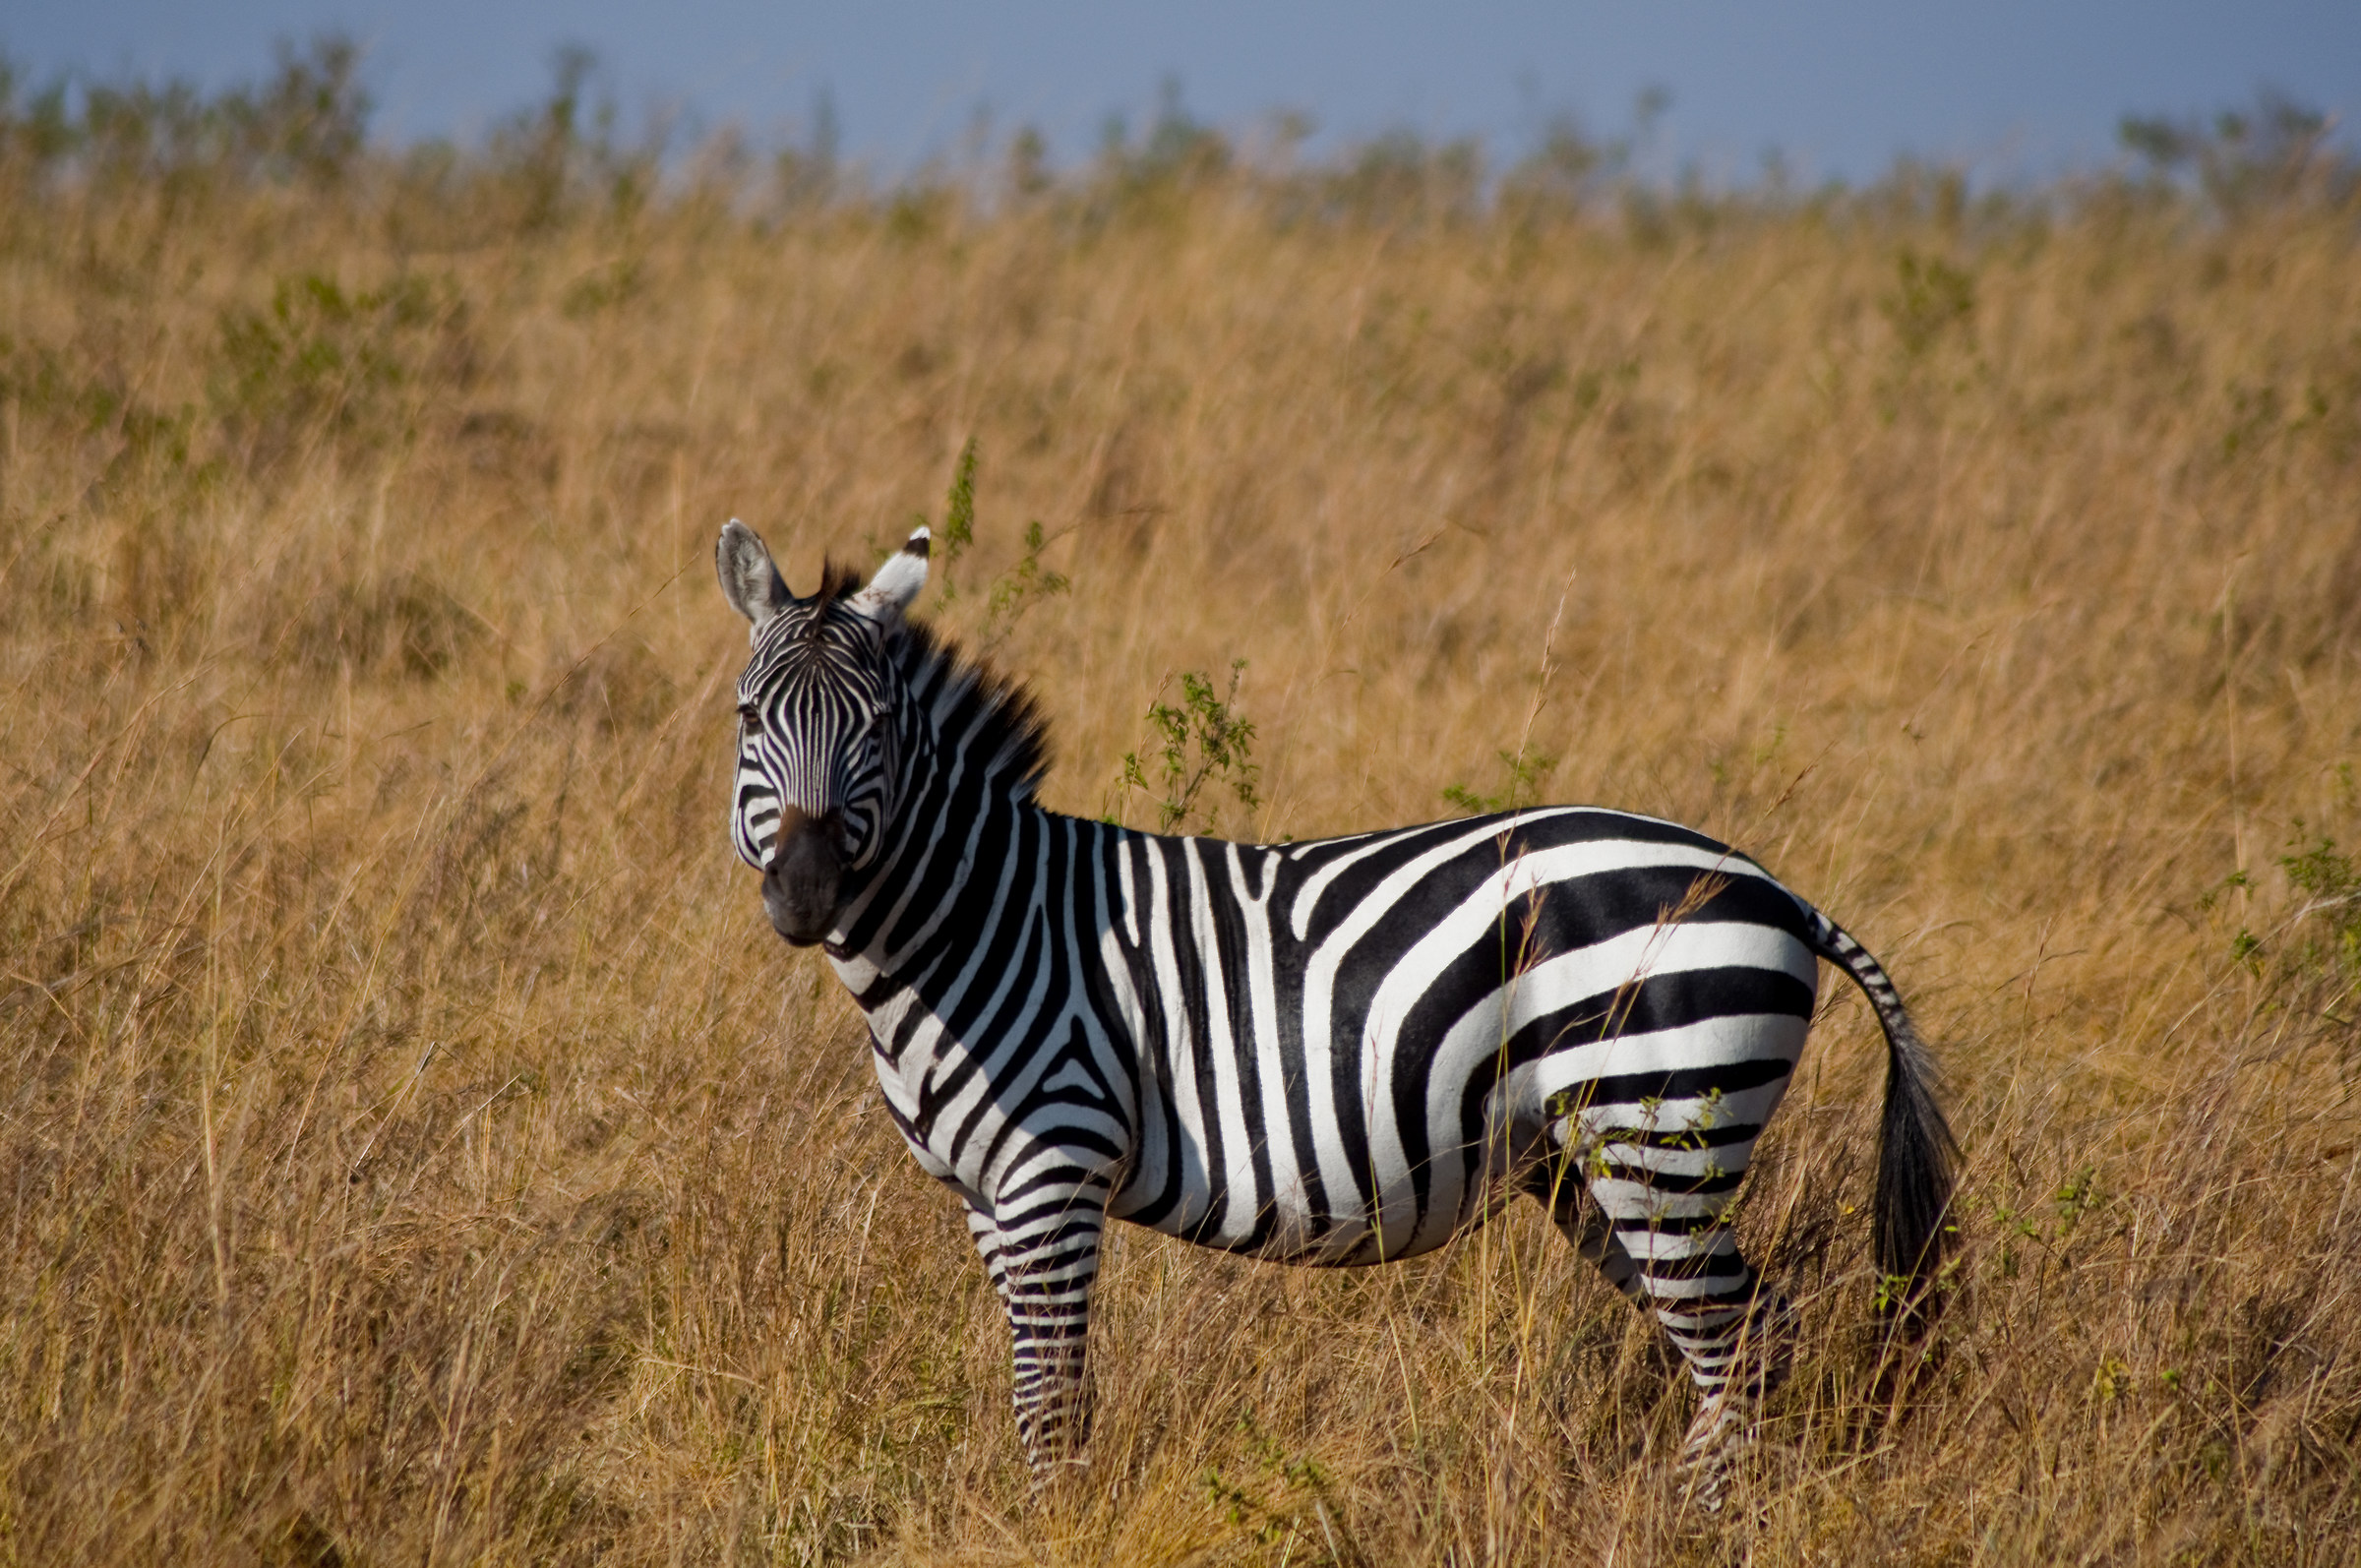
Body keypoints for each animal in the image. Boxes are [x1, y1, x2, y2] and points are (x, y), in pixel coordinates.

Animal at [717, 518, 1954, 1498]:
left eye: (878, 725)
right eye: (746, 716)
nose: (805, 891)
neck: (979, 923)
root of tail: (1772, 887)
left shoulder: (1055, 1168)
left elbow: (1054, 1403)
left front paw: (1056, 1525)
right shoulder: (987, 1196)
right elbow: (1037, 1390)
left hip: (1662, 1127)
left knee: (1740, 1340)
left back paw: (1691, 1521)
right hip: (1596, 1161)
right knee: (1739, 1337)